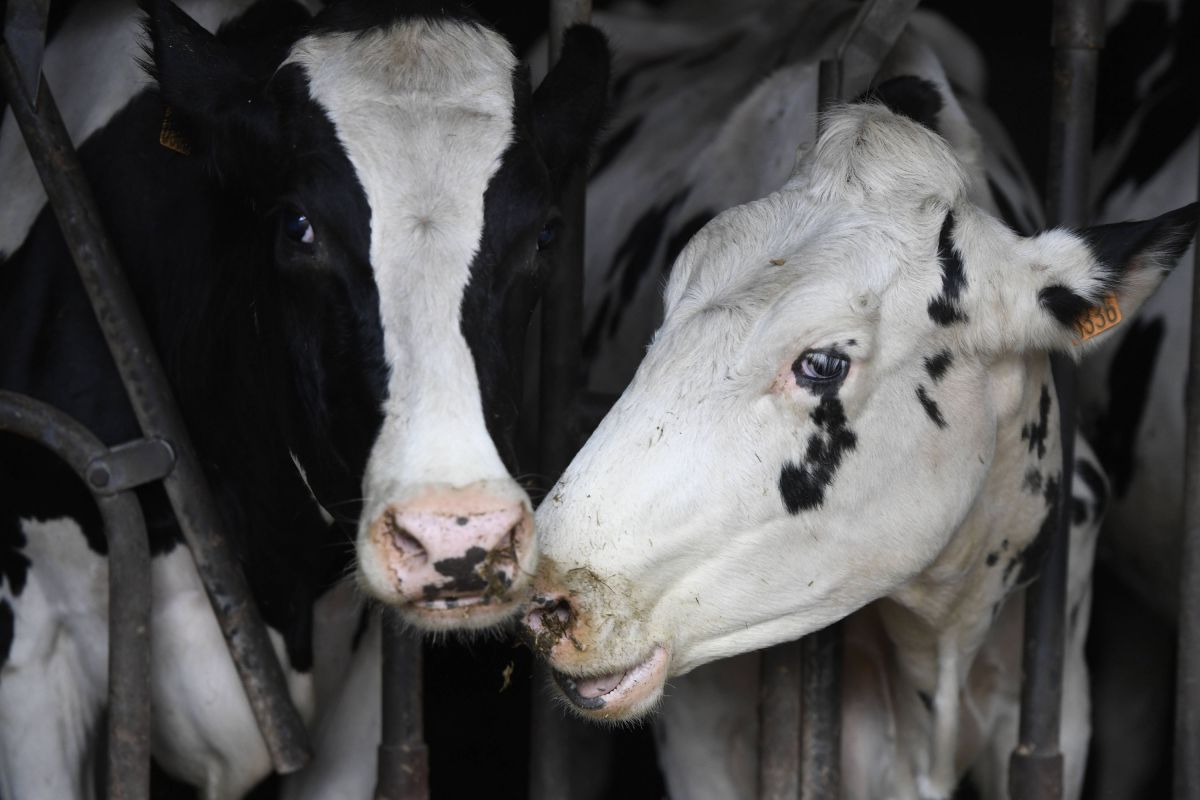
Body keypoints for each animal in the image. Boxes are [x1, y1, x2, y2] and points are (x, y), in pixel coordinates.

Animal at [521, 94, 1196, 799]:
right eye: (664, 321)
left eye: (821, 363)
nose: (544, 594)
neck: (939, 640)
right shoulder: (705, 746)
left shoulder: (1058, 714)